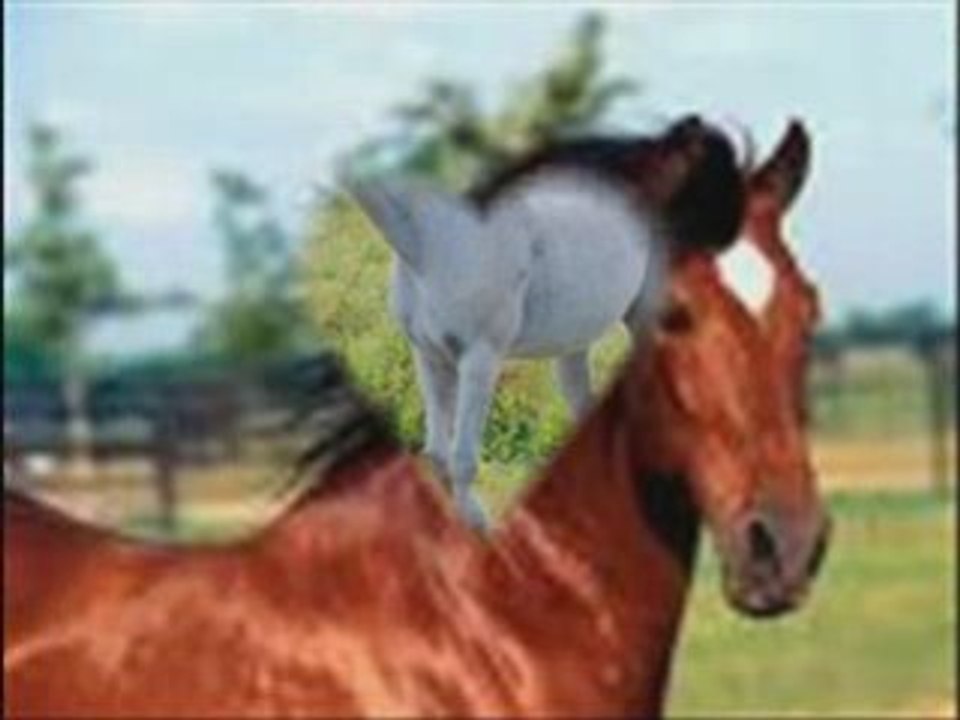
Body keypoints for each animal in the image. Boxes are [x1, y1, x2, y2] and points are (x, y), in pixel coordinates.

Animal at [350, 117, 746, 527]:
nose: (728, 233)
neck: (434, 238)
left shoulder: (480, 358)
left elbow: (462, 458)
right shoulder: (429, 356)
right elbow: (438, 457)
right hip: (574, 346)